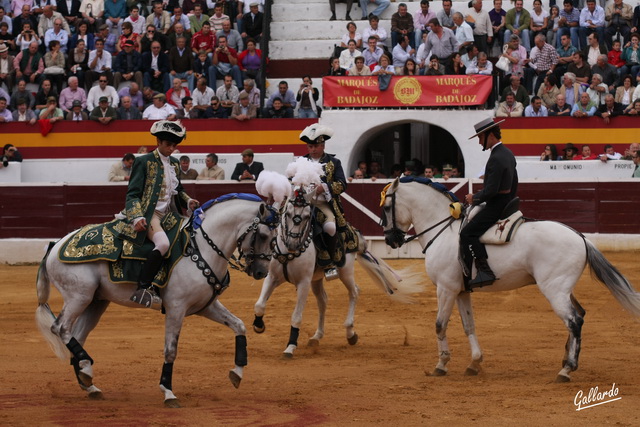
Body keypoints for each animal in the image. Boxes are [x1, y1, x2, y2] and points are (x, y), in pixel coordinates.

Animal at [35, 197, 278, 408]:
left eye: (275, 238)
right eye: (263, 235)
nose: (261, 272)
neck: (202, 248)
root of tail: (56, 245)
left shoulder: (206, 306)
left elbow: (239, 325)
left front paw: (237, 373)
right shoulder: (176, 308)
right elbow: (170, 350)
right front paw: (168, 393)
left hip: (96, 302)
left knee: (77, 334)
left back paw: (88, 380)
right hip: (79, 296)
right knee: (61, 327)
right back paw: (87, 369)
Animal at [252, 157, 422, 358]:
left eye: (307, 216)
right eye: (287, 213)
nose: (293, 244)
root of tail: (354, 232)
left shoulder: (303, 282)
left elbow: (296, 316)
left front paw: (290, 346)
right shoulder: (272, 277)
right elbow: (259, 305)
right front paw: (258, 325)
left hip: (345, 271)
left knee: (354, 291)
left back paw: (350, 333)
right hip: (317, 278)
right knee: (323, 300)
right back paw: (317, 336)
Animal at [378, 179, 640, 382]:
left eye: (388, 206)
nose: (390, 239)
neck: (443, 230)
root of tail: (581, 237)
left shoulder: (446, 288)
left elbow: (440, 324)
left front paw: (441, 366)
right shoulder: (461, 291)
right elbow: (468, 325)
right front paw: (474, 363)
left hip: (554, 290)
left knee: (573, 321)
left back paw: (566, 370)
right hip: (564, 288)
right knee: (579, 316)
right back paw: (565, 360)